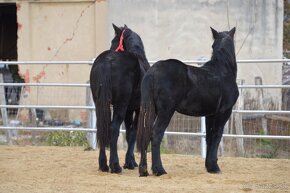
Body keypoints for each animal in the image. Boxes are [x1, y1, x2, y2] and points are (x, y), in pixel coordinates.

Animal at [89, 24, 150, 173]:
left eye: (113, 41)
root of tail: (108, 60)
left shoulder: (129, 109)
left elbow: (128, 133)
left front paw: (131, 161)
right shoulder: (137, 108)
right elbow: (133, 132)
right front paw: (129, 162)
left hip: (100, 103)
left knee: (103, 128)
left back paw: (103, 165)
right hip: (120, 104)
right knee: (113, 128)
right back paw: (115, 166)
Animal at [137, 27, 239, 176]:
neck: (223, 70)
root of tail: (153, 71)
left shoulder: (210, 114)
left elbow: (209, 137)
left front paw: (209, 166)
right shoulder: (224, 112)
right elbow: (217, 136)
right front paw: (214, 167)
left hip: (152, 110)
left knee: (145, 133)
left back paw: (143, 170)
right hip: (166, 111)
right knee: (156, 134)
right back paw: (159, 169)